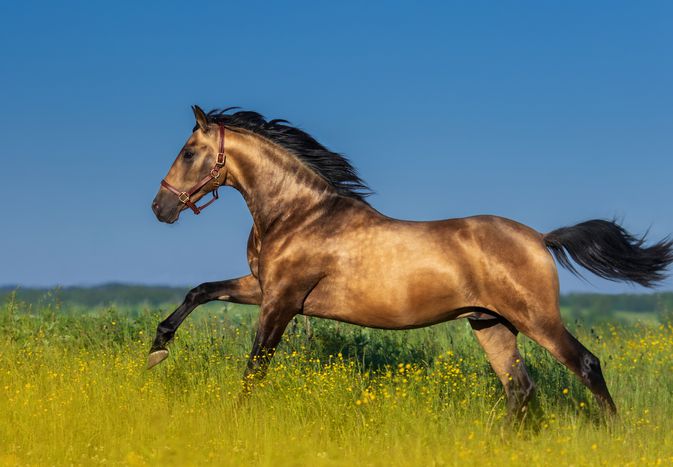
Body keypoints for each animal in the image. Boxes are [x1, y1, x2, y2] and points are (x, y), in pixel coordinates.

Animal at [148, 106, 672, 420]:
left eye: (189, 152)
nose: (160, 207)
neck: (299, 214)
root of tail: (540, 239)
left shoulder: (282, 299)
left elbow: (255, 366)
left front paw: (237, 416)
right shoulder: (264, 287)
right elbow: (200, 290)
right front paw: (157, 349)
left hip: (535, 317)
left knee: (585, 365)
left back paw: (613, 433)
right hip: (491, 324)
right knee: (519, 390)